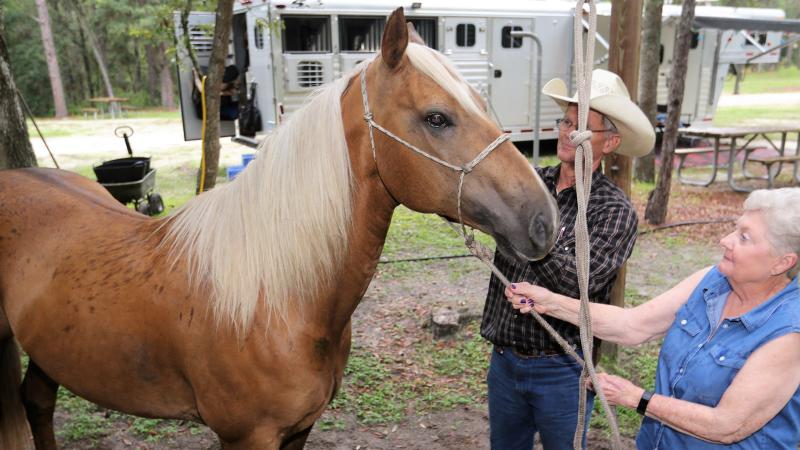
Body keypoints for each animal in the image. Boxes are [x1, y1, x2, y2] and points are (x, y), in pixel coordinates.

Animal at [0, 7, 560, 450]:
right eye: (437, 117)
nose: (544, 219)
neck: (275, 299)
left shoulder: (299, 429)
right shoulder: (247, 437)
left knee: (37, 404)